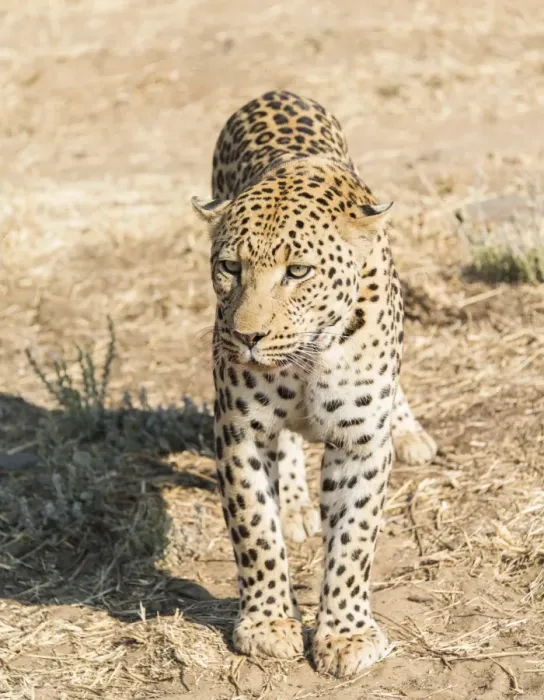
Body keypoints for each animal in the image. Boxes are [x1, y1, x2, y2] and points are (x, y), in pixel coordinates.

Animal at [192, 90, 437, 678]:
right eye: (229, 267)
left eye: (298, 272)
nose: (246, 336)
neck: (306, 357)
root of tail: (273, 92)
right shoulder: (239, 431)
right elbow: (255, 529)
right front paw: (267, 625)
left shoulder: (359, 441)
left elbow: (353, 540)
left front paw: (346, 635)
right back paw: (297, 504)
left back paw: (411, 432)